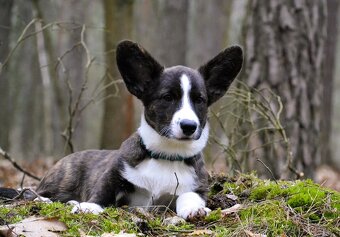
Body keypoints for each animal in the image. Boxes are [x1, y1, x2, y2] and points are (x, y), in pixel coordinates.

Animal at [5, 39, 244, 219]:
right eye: (167, 97)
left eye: (200, 100)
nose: (189, 126)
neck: (167, 155)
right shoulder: (114, 174)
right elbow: (102, 191)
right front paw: (89, 206)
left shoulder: (197, 187)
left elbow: (190, 196)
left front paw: (194, 209)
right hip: (62, 180)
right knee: (33, 193)